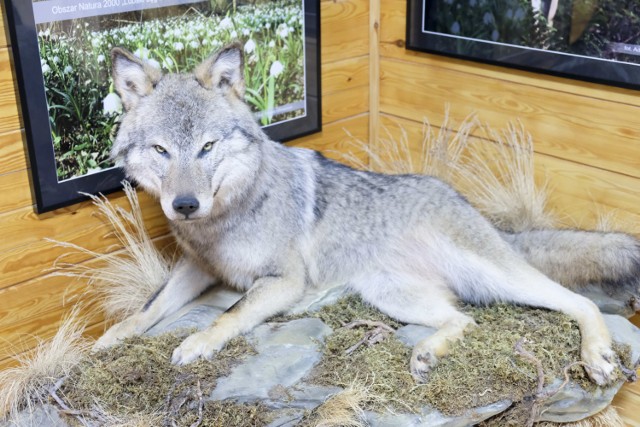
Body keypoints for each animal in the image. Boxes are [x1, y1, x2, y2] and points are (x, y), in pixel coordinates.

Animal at [95, 44, 640, 388]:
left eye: (207, 147)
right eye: (162, 150)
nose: (185, 205)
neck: (225, 218)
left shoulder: (283, 281)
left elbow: (229, 314)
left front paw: (197, 343)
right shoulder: (196, 268)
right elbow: (147, 309)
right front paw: (108, 340)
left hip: (492, 275)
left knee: (576, 302)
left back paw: (597, 356)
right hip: (390, 295)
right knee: (463, 320)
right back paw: (427, 354)